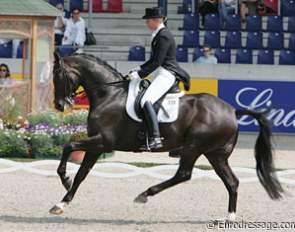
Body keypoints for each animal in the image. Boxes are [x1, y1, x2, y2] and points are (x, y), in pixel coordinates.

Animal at [50, 52, 284, 221]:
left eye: (58, 76)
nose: (60, 105)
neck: (109, 95)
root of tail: (232, 111)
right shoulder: (97, 145)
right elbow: (82, 174)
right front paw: (62, 202)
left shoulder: (103, 142)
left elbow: (69, 147)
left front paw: (64, 179)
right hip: (215, 154)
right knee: (231, 181)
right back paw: (229, 217)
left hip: (194, 147)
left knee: (184, 174)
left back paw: (144, 194)